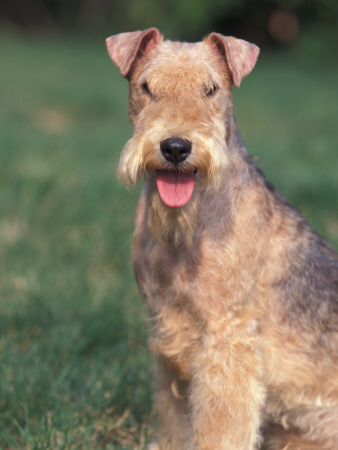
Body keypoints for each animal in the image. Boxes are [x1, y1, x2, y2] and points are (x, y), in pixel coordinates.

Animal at [106, 29, 338, 450]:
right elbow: (176, 420)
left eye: (211, 88)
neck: (186, 226)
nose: (175, 147)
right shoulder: (167, 334)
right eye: (146, 86)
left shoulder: (226, 335)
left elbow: (222, 425)